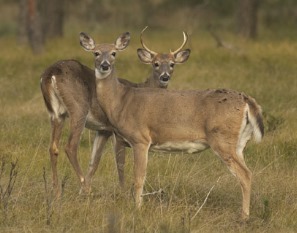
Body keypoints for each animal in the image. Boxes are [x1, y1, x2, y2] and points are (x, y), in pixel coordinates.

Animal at [39, 28, 190, 196]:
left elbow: (94, 161)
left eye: (172, 64)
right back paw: (81, 186)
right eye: (155, 64)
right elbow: (120, 163)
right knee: (70, 146)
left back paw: (57, 191)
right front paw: (122, 192)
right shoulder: (117, 132)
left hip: (56, 113)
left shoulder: (103, 129)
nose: (165, 77)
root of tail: (51, 73)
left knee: (53, 147)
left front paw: (82, 192)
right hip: (79, 108)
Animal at [79, 31, 264, 220]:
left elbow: (138, 178)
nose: (105, 65)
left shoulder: (140, 139)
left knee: (245, 174)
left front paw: (138, 208)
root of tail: (247, 100)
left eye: (114, 53)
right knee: (247, 172)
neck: (121, 101)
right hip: (239, 143)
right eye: (96, 53)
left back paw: (244, 216)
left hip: (222, 139)